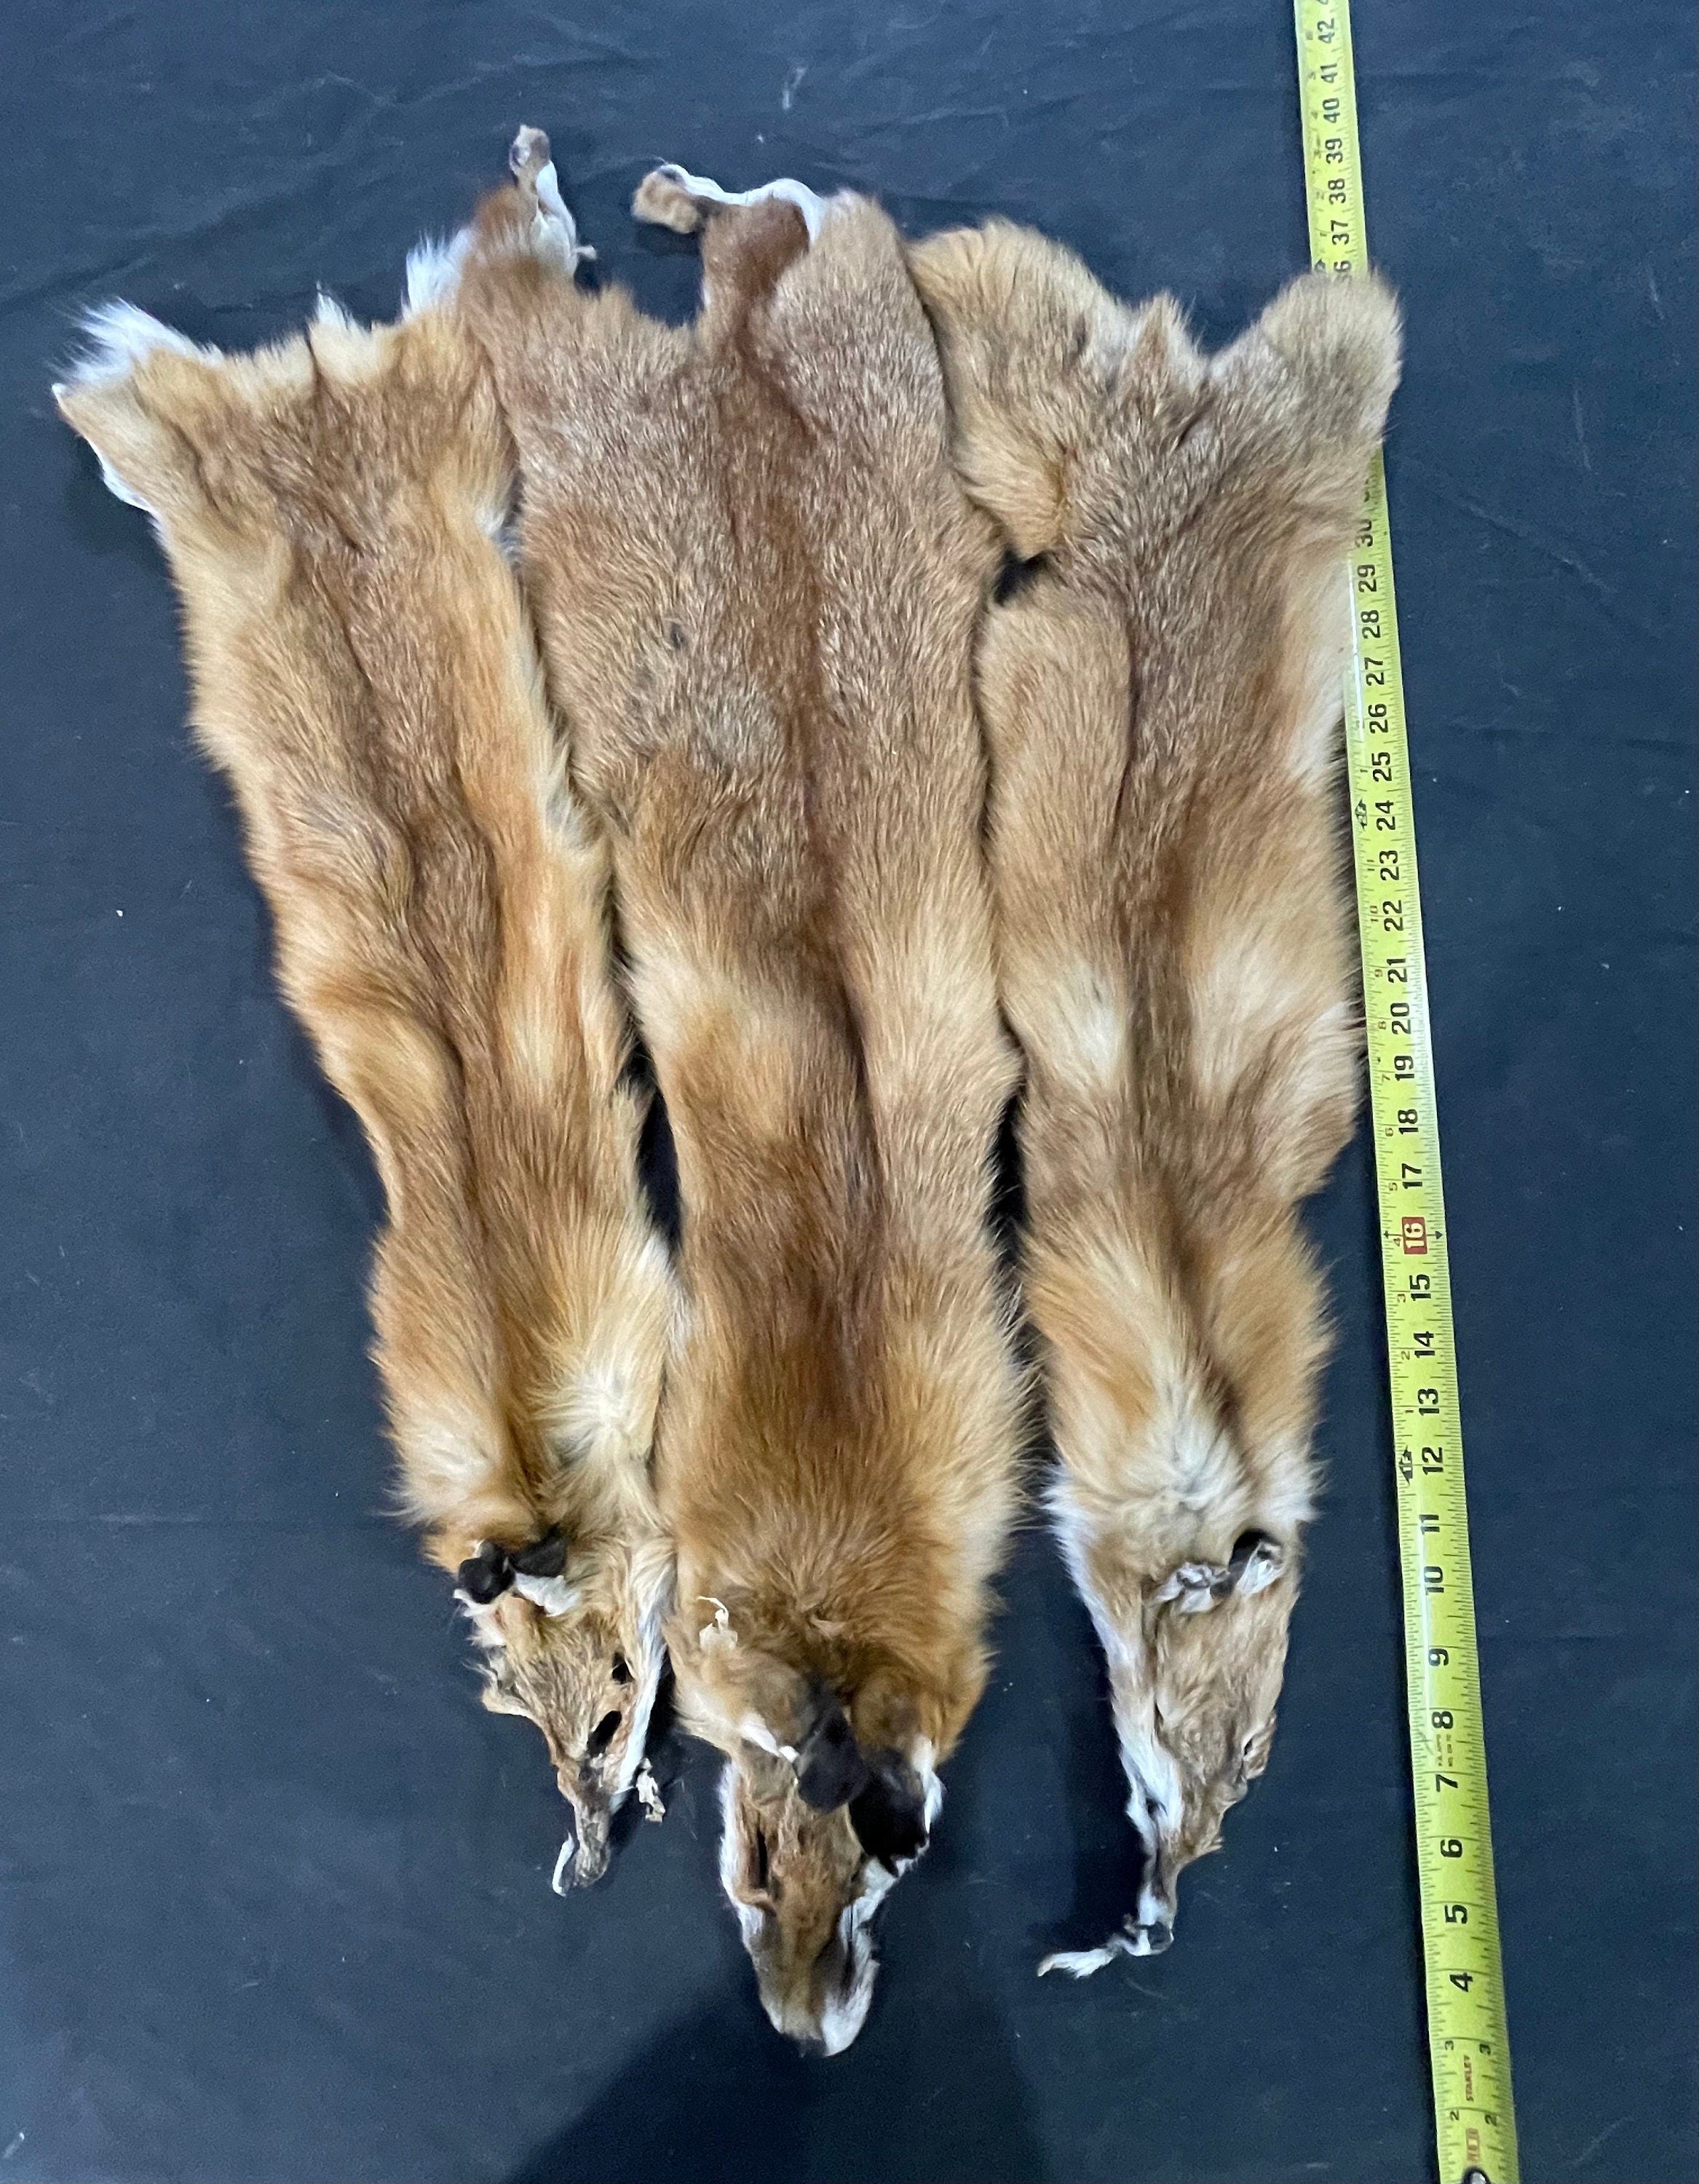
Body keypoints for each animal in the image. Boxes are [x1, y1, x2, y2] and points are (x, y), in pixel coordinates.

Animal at [54, 278, 677, 1885]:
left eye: (606, 1717)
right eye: (528, 1727)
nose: (585, 1864)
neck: (527, 1421)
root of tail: (305, 440)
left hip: (450, 440)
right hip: (229, 505)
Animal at [429, 131, 1025, 2049]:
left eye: (885, 1884)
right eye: (759, 1872)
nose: (803, 2029)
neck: (830, 1562)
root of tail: (732, 382)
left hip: (825, 322)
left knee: (778, 224)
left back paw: (669, 204)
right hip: (593, 397)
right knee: (544, 268)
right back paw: (602, 194)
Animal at [907, 219, 1400, 1969]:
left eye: (1244, 1779)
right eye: (1160, 1778)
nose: (1155, 1926)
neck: (1201, 1370)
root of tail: (1183, 432)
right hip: (1018, 431)